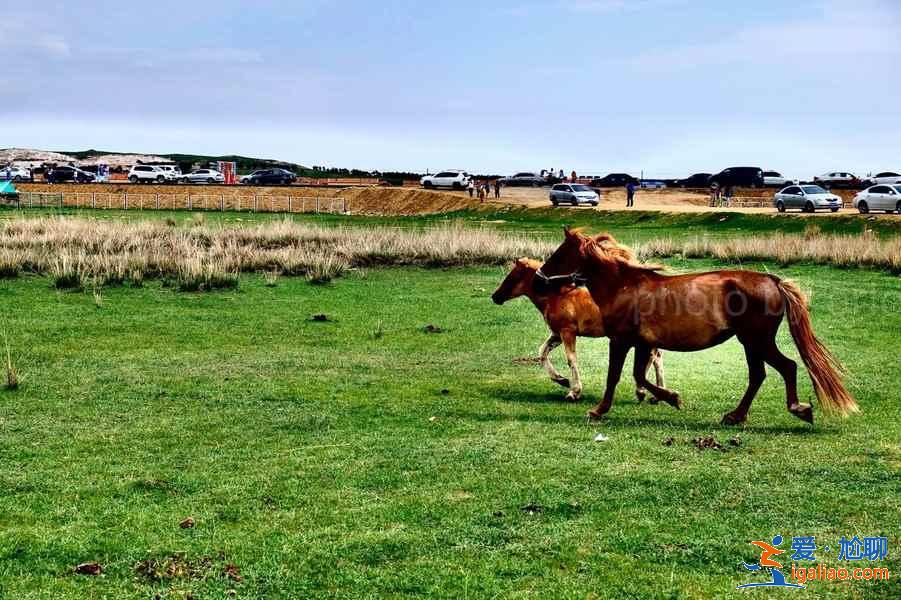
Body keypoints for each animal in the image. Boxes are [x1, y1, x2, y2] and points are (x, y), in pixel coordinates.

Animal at [492, 256, 660, 404]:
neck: (557, 296)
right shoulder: (557, 334)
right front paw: (561, 380)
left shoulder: (567, 332)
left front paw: (574, 392)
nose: (495, 297)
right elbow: (542, 352)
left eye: (513, 277)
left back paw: (641, 391)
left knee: (652, 357)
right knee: (656, 357)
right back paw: (656, 396)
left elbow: (571, 358)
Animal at [536, 227, 856, 424]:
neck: (623, 286)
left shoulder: (621, 340)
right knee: (759, 375)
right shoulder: (643, 343)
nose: (539, 279)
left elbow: (616, 376)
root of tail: (773, 281)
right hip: (750, 342)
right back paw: (736, 416)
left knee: (785, 367)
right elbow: (640, 376)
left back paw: (797, 409)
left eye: (559, 254)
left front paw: (598, 410)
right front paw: (671, 398)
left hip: (756, 340)